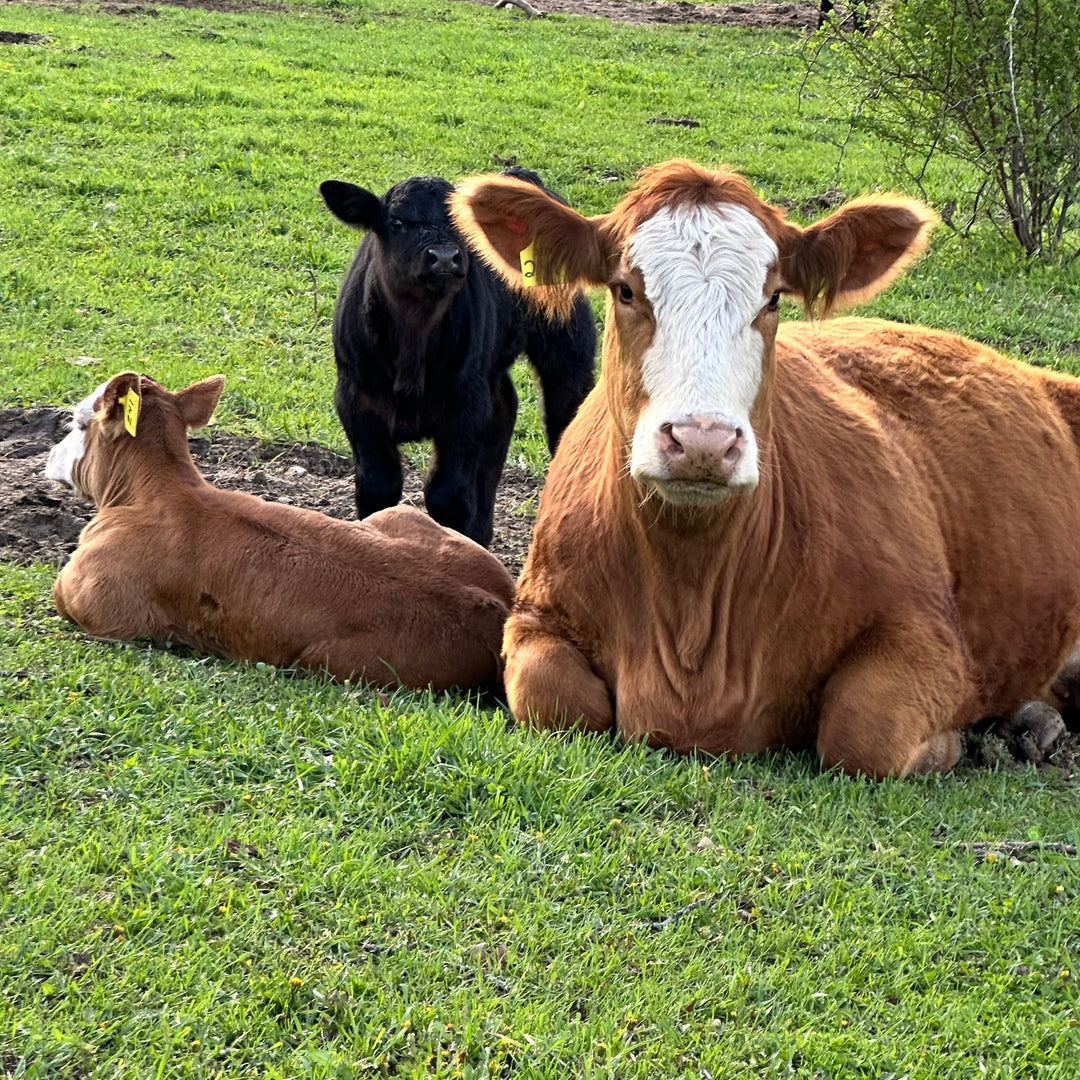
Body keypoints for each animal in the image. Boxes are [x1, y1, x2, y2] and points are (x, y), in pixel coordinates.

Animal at [45, 372, 514, 692]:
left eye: (79, 422)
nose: (49, 456)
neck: (153, 493)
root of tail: (497, 609)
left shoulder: (91, 601)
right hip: (396, 516)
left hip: (330, 663)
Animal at [319, 168, 596, 548]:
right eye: (397, 221)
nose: (445, 257)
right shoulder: (354, 398)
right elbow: (378, 486)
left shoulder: (464, 405)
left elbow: (447, 495)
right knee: (503, 412)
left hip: (568, 348)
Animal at [449, 158, 1080, 778]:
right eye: (626, 289)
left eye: (773, 298)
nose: (702, 441)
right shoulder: (535, 615)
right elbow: (554, 699)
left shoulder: (930, 633)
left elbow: (865, 728)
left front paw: (946, 745)